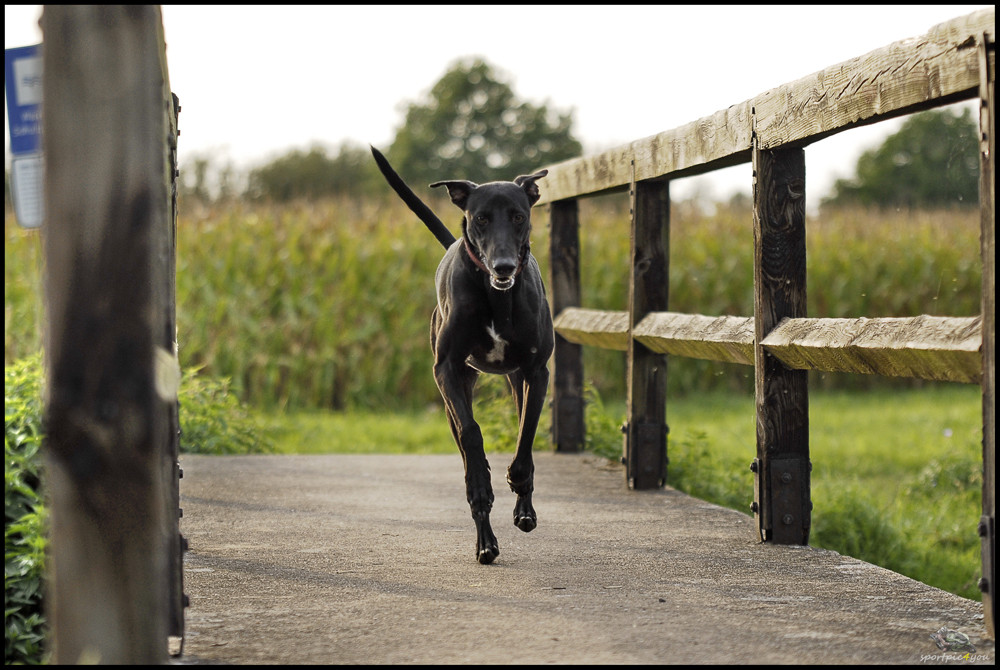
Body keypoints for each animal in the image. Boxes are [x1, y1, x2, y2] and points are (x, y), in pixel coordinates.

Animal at [372, 148, 556, 568]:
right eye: (481, 218)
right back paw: (485, 539)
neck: (496, 296)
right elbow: (472, 434)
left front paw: (518, 482)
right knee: (464, 440)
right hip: (451, 397)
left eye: (518, 216)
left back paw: (522, 509)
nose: (504, 266)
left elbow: (526, 433)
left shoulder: (536, 372)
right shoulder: (447, 370)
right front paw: (482, 482)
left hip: (516, 379)